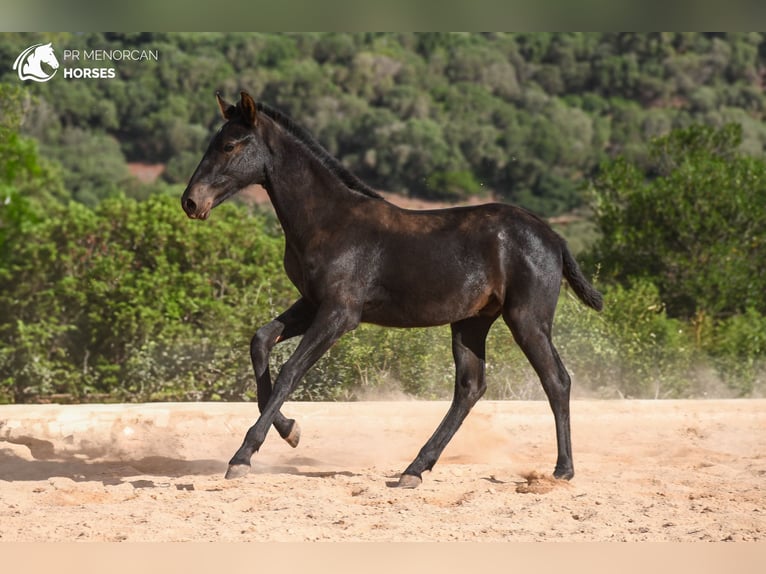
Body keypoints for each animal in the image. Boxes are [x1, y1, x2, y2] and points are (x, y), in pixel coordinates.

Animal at [183, 92, 604, 488]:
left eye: (230, 145)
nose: (190, 202)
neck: (328, 220)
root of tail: (552, 237)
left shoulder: (340, 313)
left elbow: (290, 371)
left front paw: (243, 456)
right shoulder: (313, 303)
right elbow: (261, 340)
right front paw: (290, 431)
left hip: (526, 319)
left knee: (556, 381)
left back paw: (562, 470)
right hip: (471, 322)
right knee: (470, 388)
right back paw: (414, 469)